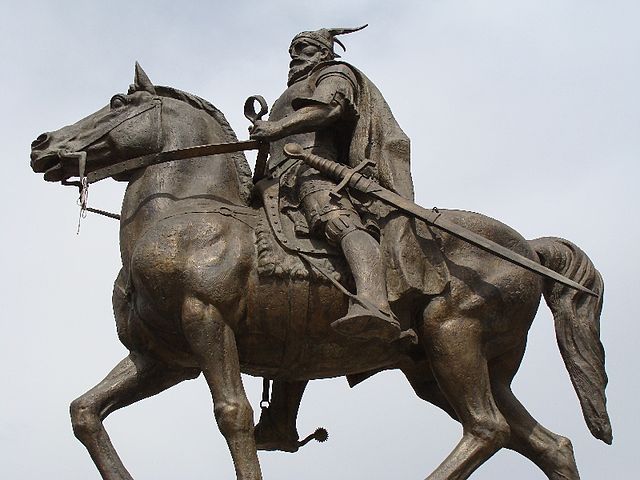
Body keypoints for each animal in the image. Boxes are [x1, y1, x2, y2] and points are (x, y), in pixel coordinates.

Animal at [30, 64, 608, 480]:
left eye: (118, 103)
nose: (42, 145)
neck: (187, 213)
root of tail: (527, 247)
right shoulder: (163, 357)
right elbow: (85, 412)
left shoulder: (206, 321)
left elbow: (233, 414)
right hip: (445, 368)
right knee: (547, 444)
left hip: (453, 335)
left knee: (487, 429)